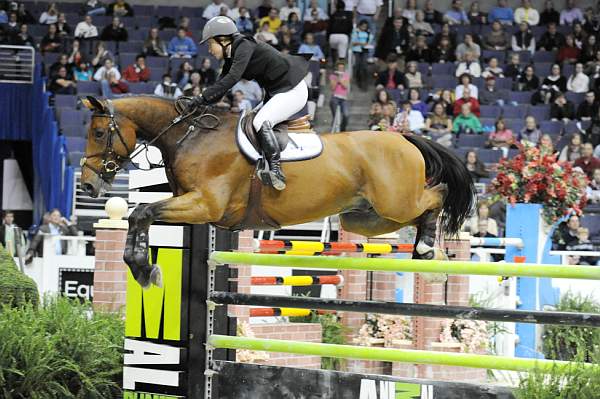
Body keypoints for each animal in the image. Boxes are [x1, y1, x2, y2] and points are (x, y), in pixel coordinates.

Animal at [79, 95, 476, 290]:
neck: (190, 136)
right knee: (416, 213)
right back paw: (430, 257)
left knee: (437, 196)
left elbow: (141, 213)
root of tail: (402, 137)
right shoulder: (191, 205)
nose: (88, 185)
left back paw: (428, 251)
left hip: (396, 201)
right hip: (366, 217)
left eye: (98, 133)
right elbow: (138, 216)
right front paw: (141, 269)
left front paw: (147, 270)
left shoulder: (204, 205)